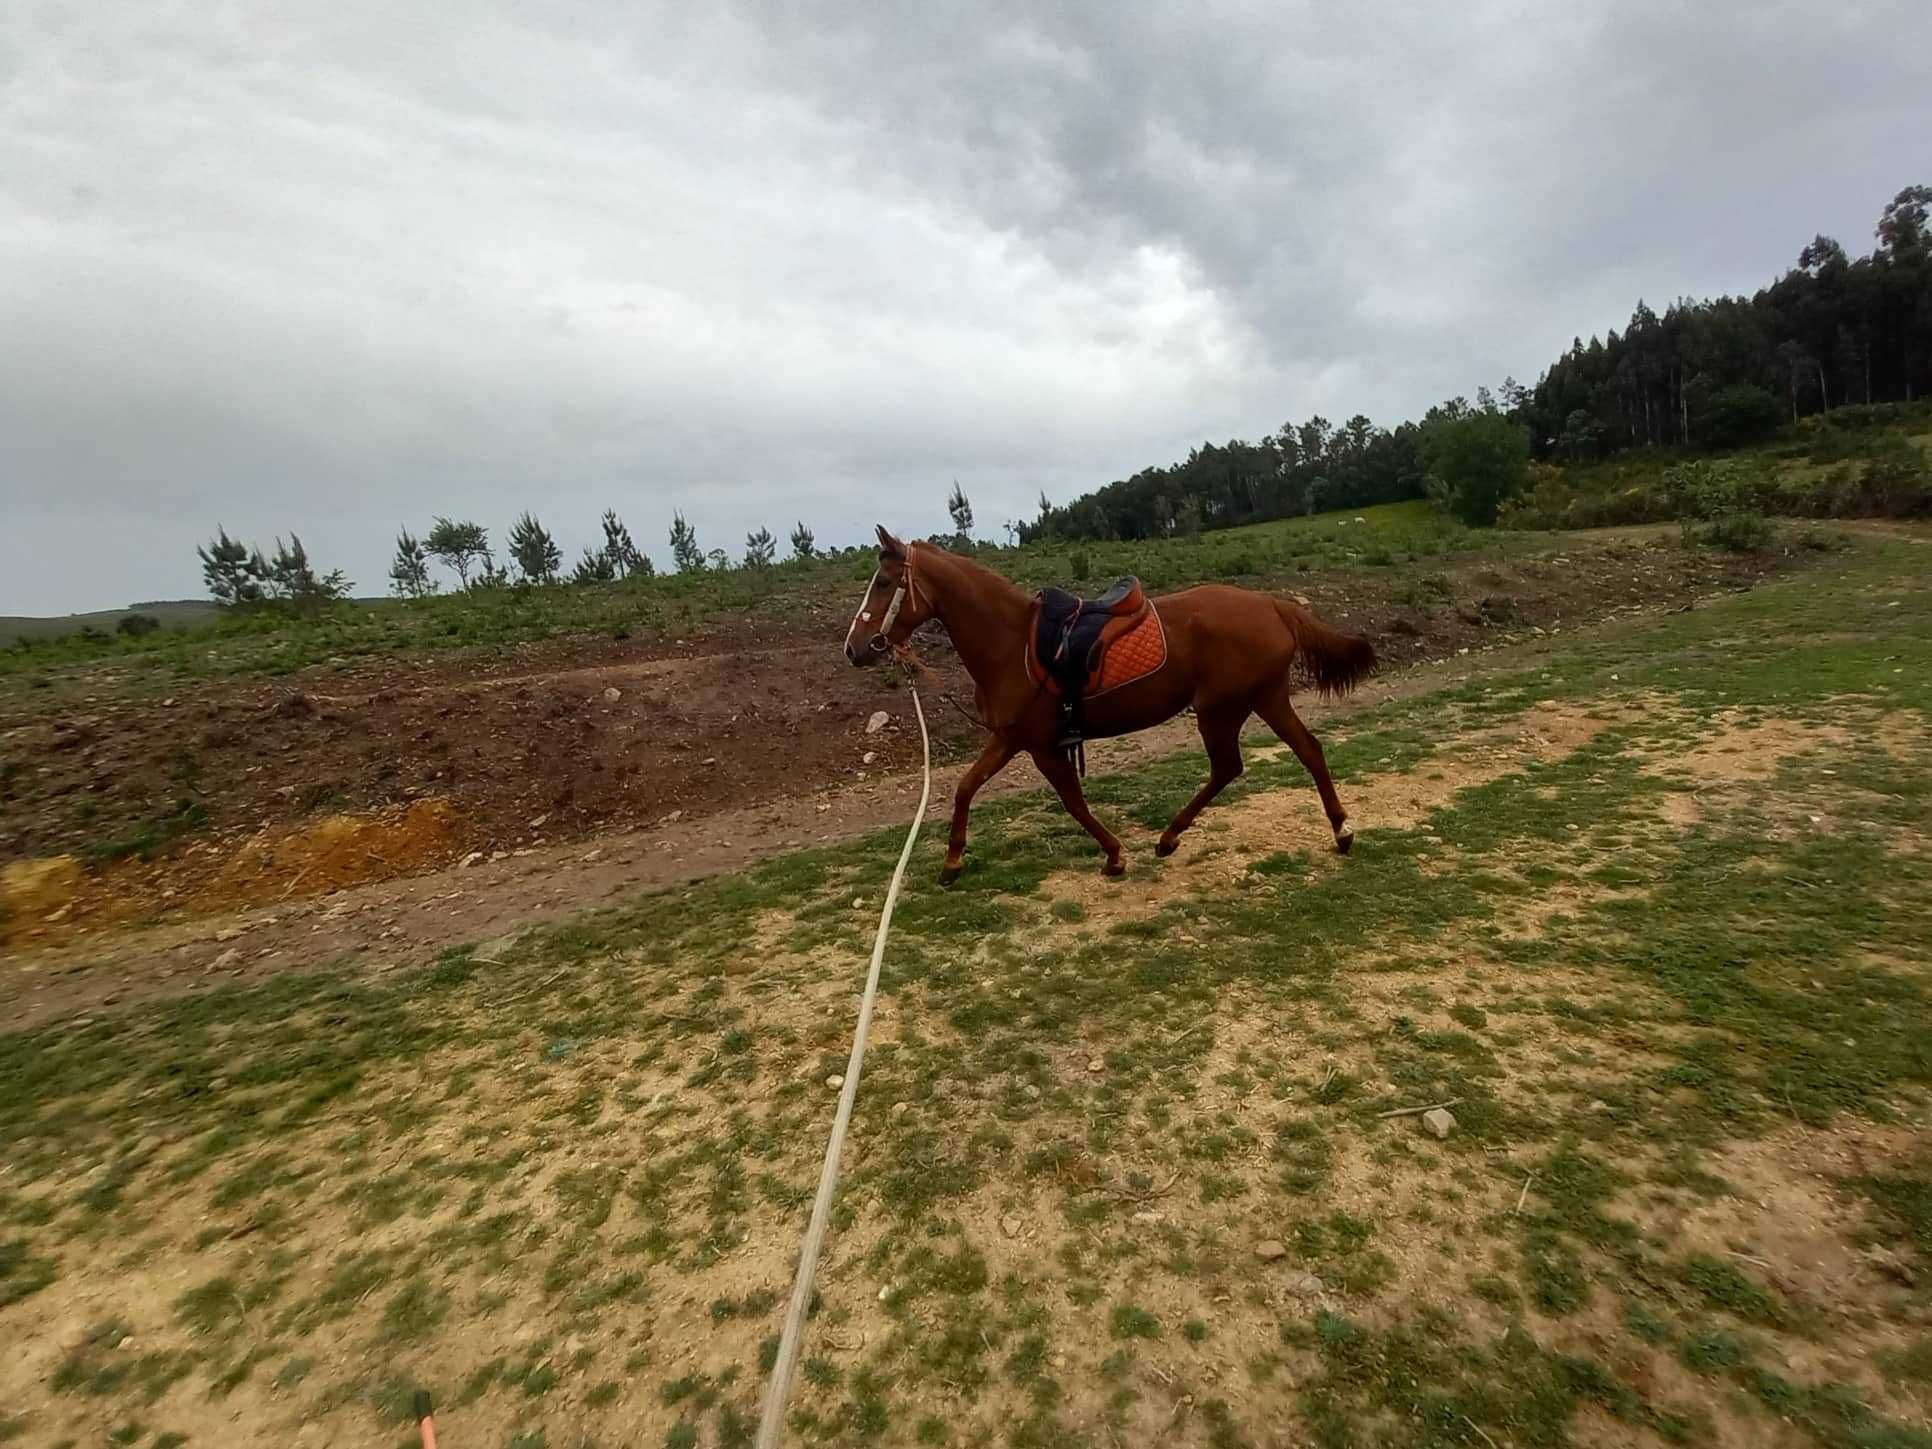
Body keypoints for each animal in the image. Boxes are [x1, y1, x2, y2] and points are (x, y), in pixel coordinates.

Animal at [846, 529, 1375, 880]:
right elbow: (964, 787)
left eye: (884, 583)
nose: (854, 648)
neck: (1012, 643)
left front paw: (1115, 855)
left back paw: (1172, 837)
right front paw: (953, 860)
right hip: (1262, 699)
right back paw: (1337, 831)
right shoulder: (1011, 738)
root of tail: (1271, 604)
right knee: (1302, 752)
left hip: (1223, 709)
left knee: (1234, 766)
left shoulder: (1041, 745)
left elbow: (1072, 801)